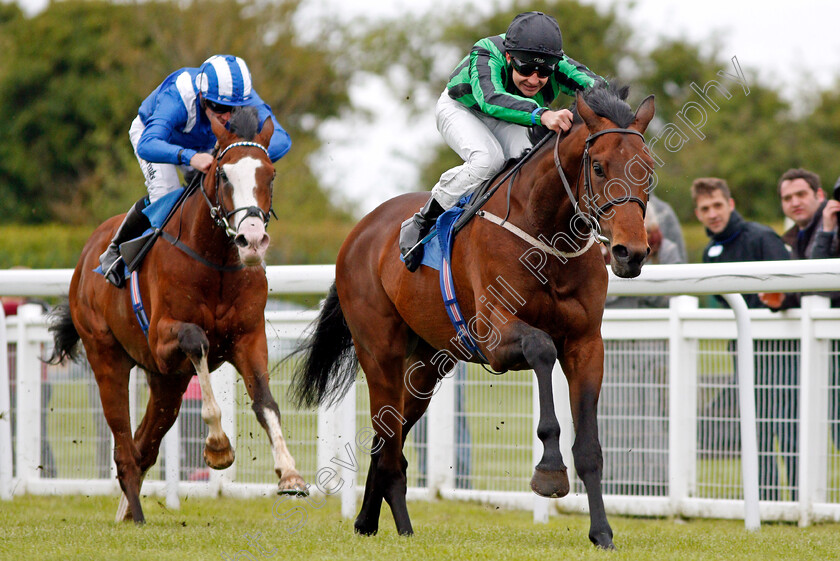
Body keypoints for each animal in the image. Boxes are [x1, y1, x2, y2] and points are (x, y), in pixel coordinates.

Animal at [47, 107, 306, 524]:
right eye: (223, 174)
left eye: (270, 174)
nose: (251, 240)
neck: (216, 261)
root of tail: (87, 255)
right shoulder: (164, 338)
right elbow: (197, 340)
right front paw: (218, 446)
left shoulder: (248, 337)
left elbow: (266, 401)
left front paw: (290, 474)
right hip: (107, 358)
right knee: (124, 444)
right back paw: (135, 515)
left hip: (166, 382)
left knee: (144, 445)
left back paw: (126, 510)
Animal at [294, 84, 656, 548]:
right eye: (597, 165)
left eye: (648, 169)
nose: (631, 253)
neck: (545, 232)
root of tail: (359, 231)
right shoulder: (494, 336)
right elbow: (541, 348)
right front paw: (550, 472)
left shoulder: (586, 344)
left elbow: (590, 448)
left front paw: (602, 532)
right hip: (379, 352)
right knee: (388, 440)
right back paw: (403, 527)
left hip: (426, 366)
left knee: (387, 436)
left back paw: (367, 521)